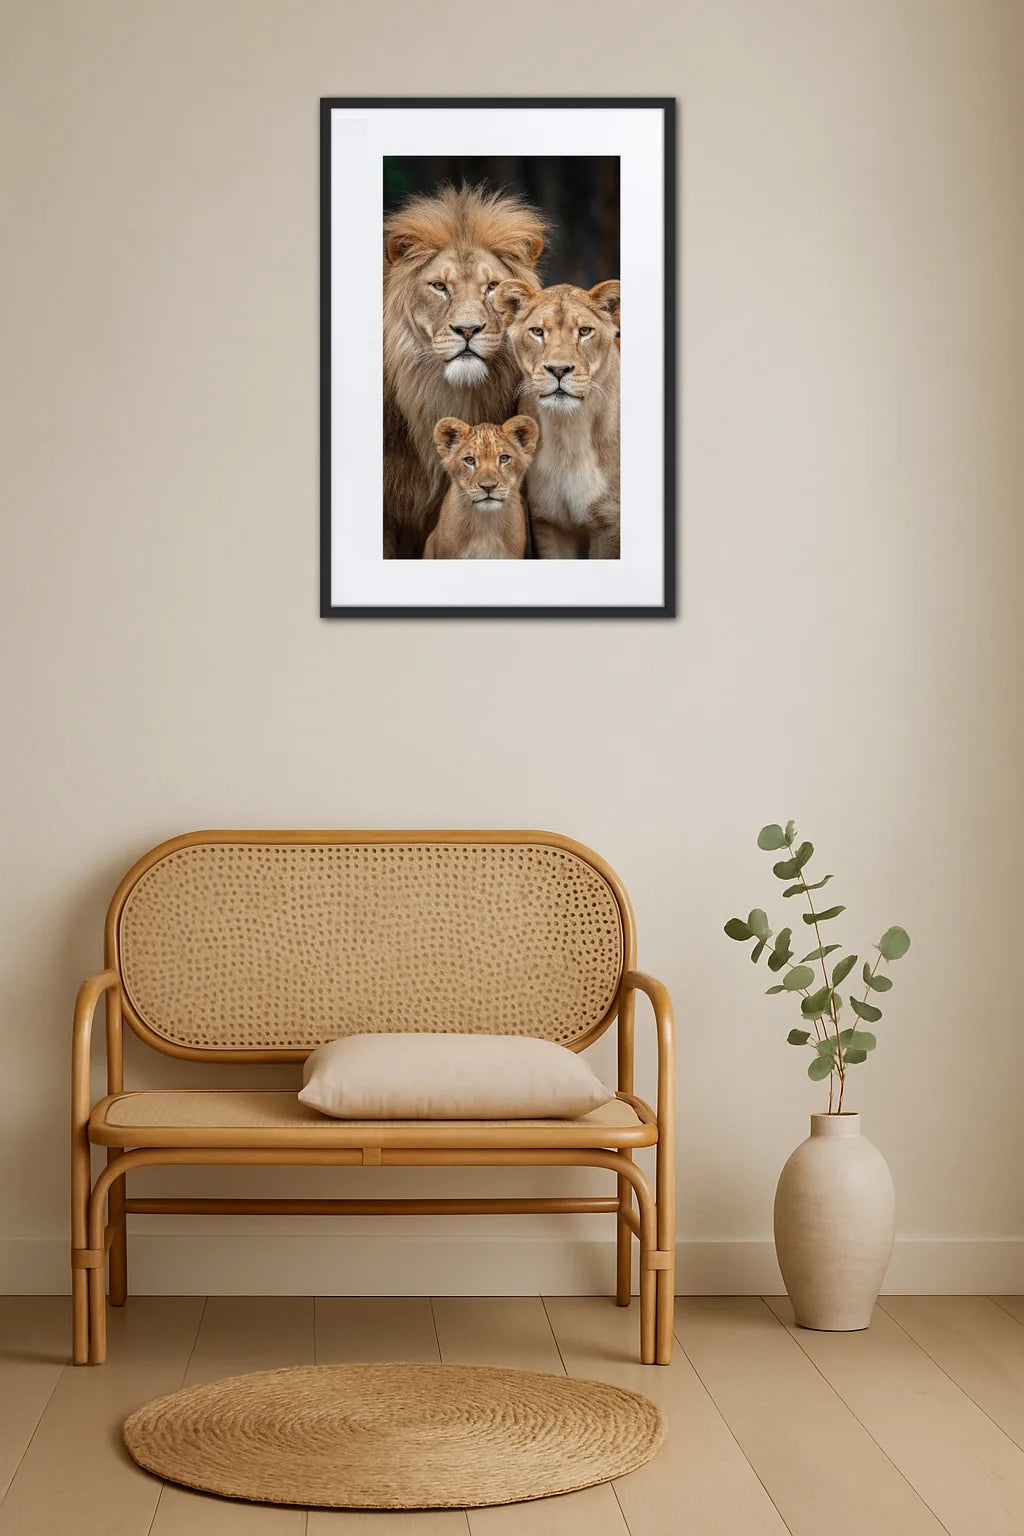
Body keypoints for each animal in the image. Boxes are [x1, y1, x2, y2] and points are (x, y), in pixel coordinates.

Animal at [492, 280, 621, 559]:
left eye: (584, 331)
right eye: (537, 331)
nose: (559, 369)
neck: (566, 432)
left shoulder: (608, 523)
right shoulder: (548, 522)